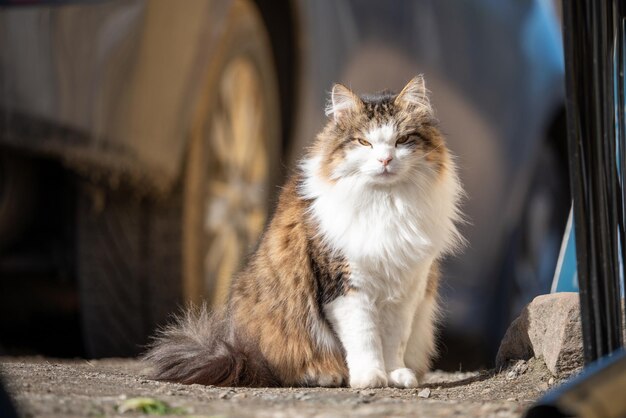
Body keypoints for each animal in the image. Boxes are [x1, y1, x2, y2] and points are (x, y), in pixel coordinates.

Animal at [144, 75, 460, 388]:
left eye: (402, 140)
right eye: (364, 142)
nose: (385, 160)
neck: (387, 203)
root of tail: (237, 351)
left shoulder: (406, 289)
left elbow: (394, 342)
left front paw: (395, 375)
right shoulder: (346, 286)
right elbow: (365, 339)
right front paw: (370, 377)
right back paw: (326, 375)